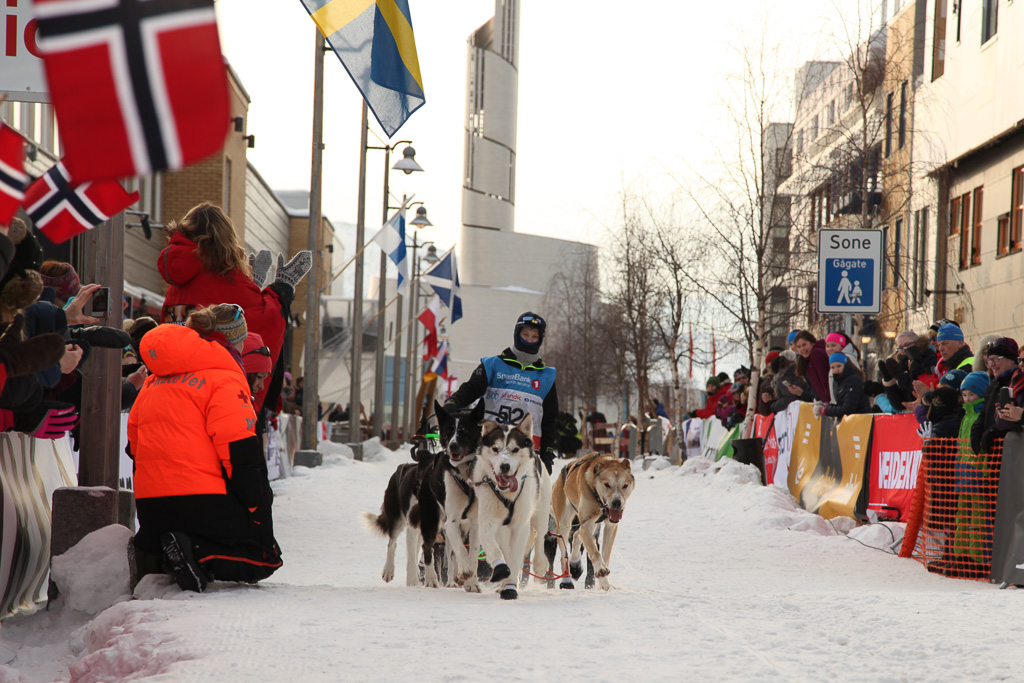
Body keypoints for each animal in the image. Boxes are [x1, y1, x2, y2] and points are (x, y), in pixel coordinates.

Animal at [471, 413, 552, 602]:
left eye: (515, 449)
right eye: (495, 448)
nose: (505, 466)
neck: (507, 495)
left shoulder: (521, 526)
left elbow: (516, 558)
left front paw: (510, 588)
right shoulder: (487, 523)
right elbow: (494, 548)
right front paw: (502, 571)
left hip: (540, 514)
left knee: (539, 537)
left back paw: (539, 564)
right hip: (502, 530)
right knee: (505, 549)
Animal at [552, 450, 630, 589]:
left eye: (625, 485)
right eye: (607, 484)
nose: (617, 503)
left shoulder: (610, 526)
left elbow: (605, 555)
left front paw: (605, 584)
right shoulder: (587, 524)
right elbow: (594, 551)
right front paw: (601, 569)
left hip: (591, 523)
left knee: (577, 535)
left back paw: (575, 564)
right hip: (564, 525)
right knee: (564, 555)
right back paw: (567, 579)